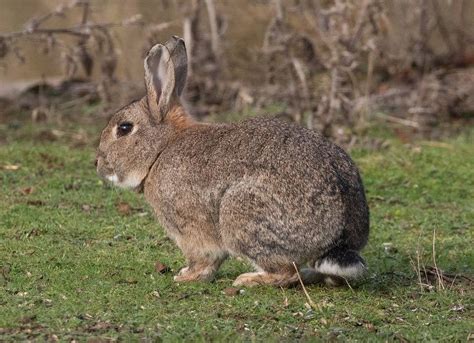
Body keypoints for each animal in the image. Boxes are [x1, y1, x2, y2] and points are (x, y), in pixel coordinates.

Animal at [96, 36, 370, 288]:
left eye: (124, 128)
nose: (99, 164)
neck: (161, 149)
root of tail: (339, 238)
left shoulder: (190, 228)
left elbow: (203, 259)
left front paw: (186, 277)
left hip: (240, 214)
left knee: (286, 272)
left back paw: (248, 280)